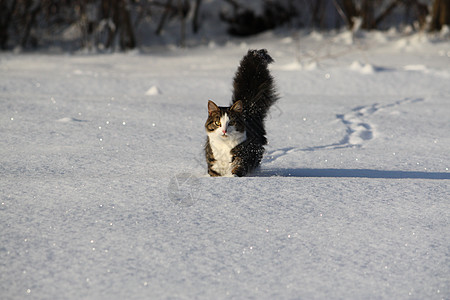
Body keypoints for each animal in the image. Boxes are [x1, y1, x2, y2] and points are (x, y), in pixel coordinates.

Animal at [204, 48, 278, 177]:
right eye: (218, 123)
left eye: (231, 123)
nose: (224, 131)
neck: (224, 146)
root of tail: (248, 109)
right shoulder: (213, 163)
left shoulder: (243, 157)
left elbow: (237, 170)